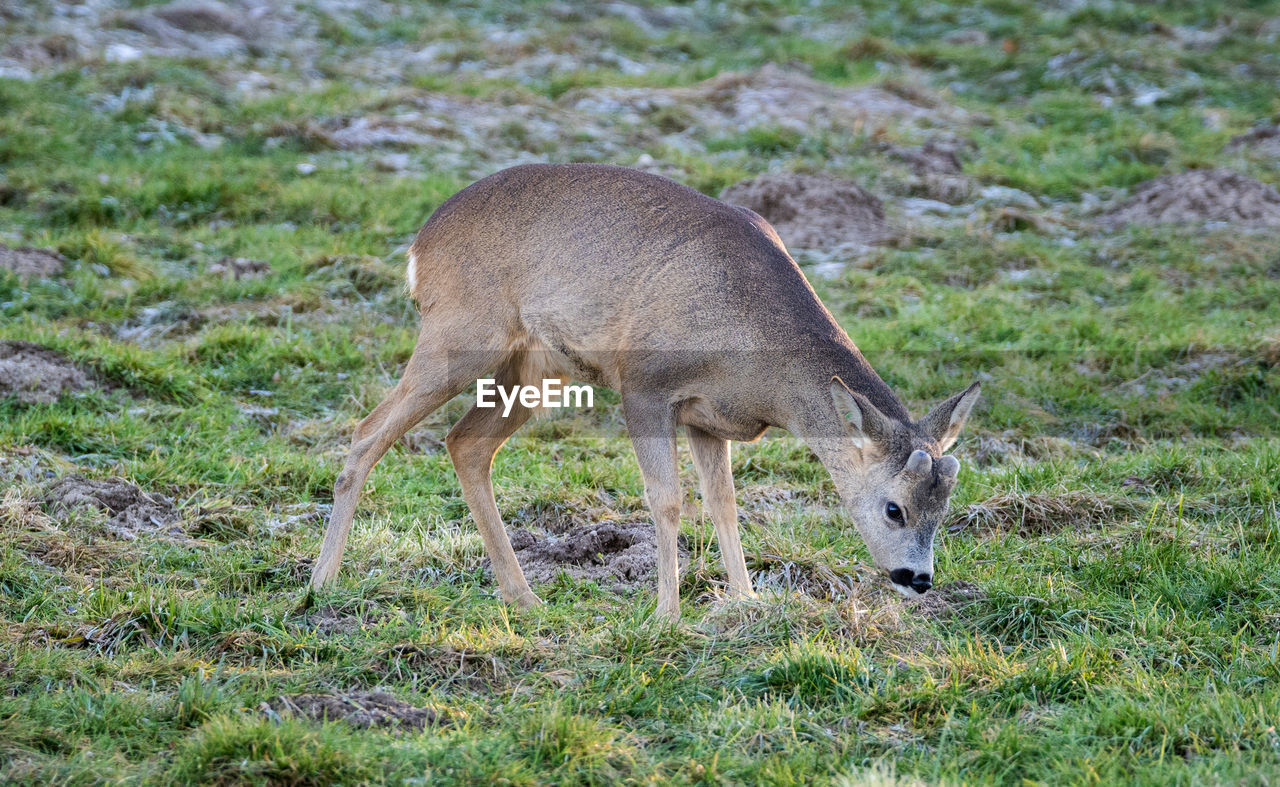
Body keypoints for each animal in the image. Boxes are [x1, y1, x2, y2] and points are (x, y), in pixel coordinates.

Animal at [309, 163, 977, 619]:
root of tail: (420, 244)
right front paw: (666, 614)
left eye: (945, 504)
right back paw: (321, 583)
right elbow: (668, 500)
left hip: (537, 368)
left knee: (465, 442)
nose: (917, 578)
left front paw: (746, 602)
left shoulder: (710, 418)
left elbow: (723, 502)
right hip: (459, 336)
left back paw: (523, 596)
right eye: (894, 508)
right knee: (368, 431)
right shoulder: (645, 386)